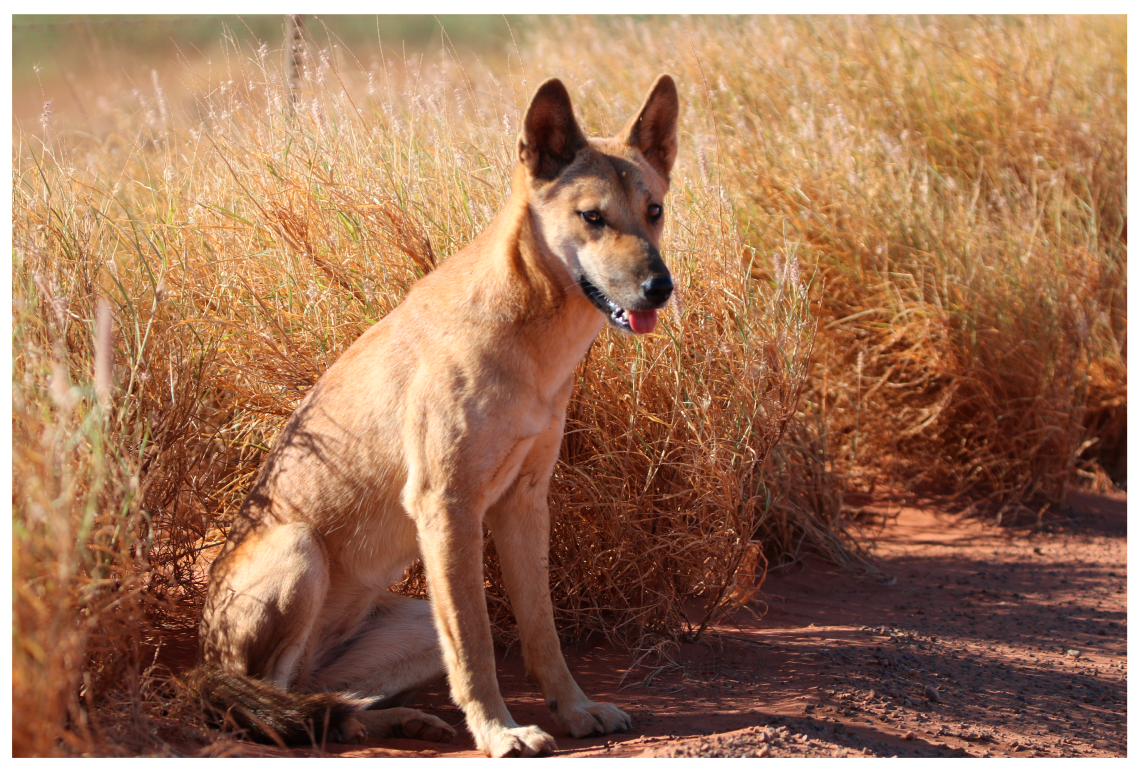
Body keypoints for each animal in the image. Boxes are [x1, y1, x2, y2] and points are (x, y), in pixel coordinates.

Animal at [192, 73, 677, 755]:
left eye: (654, 211)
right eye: (593, 217)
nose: (660, 287)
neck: (532, 342)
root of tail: (201, 664)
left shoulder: (524, 501)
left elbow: (542, 634)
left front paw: (575, 709)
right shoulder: (446, 506)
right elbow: (475, 647)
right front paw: (500, 732)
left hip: (414, 625)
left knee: (326, 701)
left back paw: (397, 721)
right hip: (299, 549)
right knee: (277, 702)